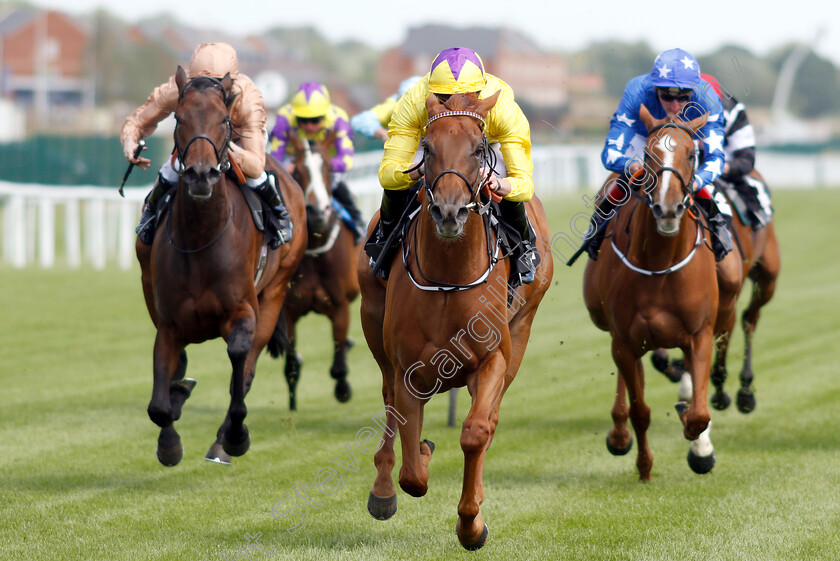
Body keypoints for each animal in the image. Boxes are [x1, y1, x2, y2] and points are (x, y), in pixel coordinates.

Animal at [136, 65, 306, 466]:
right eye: (179, 118)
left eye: (224, 120)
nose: (201, 174)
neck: (202, 239)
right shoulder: (168, 324)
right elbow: (159, 401)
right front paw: (169, 442)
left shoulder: (243, 310)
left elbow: (239, 361)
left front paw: (235, 436)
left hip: (275, 293)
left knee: (246, 369)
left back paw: (223, 440)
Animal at [270, 133, 360, 410]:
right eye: (298, 171)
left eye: (329, 169)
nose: (318, 212)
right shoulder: (288, 310)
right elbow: (291, 365)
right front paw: (292, 404)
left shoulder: (340, 306)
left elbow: (338, 364)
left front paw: (343, 390)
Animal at [358, 91, 556, 548]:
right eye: (427, 148)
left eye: (478, 150)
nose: (449, 213)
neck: (449, 278)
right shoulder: (408, 366)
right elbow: (412, 473)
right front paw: (417, 458)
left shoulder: (493, 359)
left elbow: (476, 431)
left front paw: (472, 523)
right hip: (372, 324)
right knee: (389, 403)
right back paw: (383, 489)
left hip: (522, 330)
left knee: (490, 417)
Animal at [580, 104, 740, 476]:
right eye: (649, 155)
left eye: (693, 153)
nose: (667, 209)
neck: (659, 263)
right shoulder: (625, 341)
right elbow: (641, 410)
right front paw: (644, 465)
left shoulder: (699, 335)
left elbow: (698, 414)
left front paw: (700, 448)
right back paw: (619, 432)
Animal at [648, 166, 780, 412]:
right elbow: (659, 354)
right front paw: (678, 370)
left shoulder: (725, 298)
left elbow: (720, 338)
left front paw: (718, 392)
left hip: (767, 277)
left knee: (750, 319)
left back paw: (745, 390)